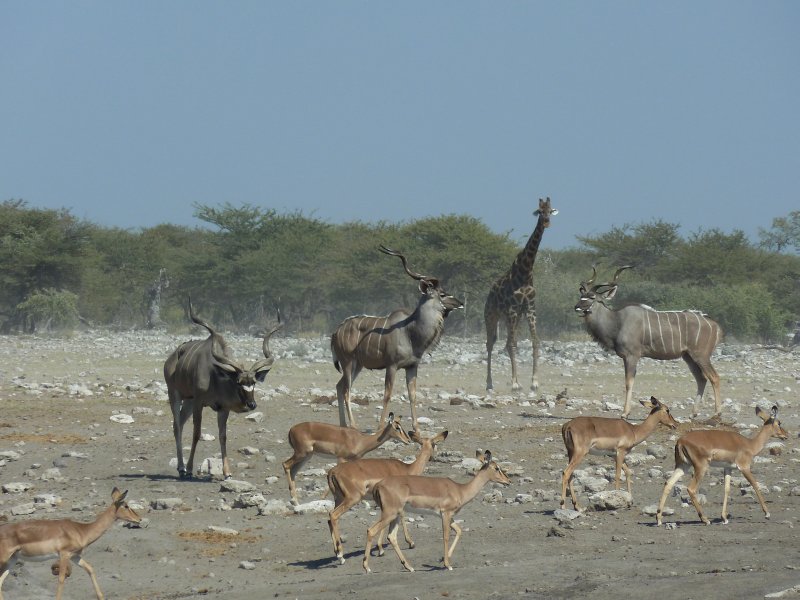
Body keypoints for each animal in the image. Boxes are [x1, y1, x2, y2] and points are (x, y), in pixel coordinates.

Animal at [484, 197, 560, 394]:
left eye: (550, 210)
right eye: (539, 211)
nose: (547, 222)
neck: (525, 273)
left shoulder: (530, 308)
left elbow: (535, 342)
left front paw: (534, 382)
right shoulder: (512, 308)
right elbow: (512, 345)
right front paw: (515, 384)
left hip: (514, 317)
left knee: (508, 343)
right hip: (492, 315)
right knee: (491, 344)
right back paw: (489, 384)